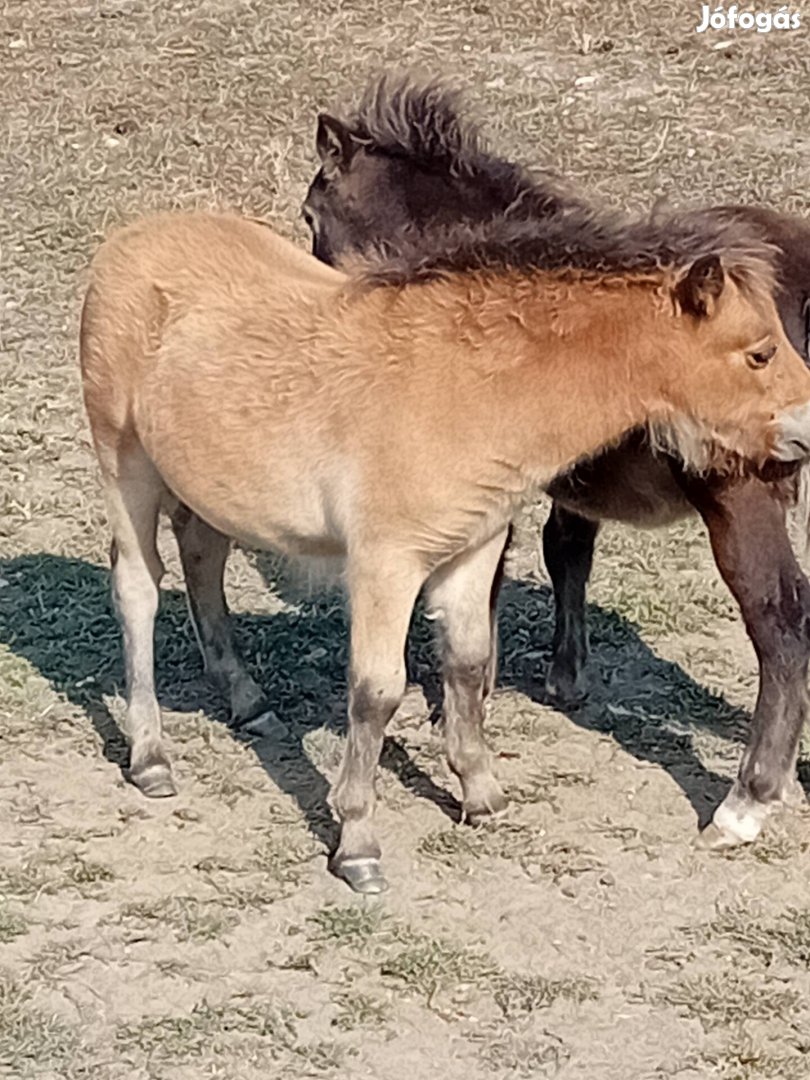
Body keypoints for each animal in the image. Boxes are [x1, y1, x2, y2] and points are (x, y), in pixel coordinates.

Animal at [79, 206, 810, 889]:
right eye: (759, 353)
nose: (807, 429)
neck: (462, 389)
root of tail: (130, 240)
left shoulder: (473, 548)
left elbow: (465, 662)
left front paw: (481, 795)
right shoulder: (386, 562)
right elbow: (376, 692)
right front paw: (358, 844)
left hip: (209, 485)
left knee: (202, 559)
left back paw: (247, 701)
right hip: (125, 466)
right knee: (138, 590)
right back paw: (151, 757)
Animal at [302, 73, 810, 851]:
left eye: (310, 214)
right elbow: (566, 548)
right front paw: (565, 677)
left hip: (743, 503)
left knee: (783, 627)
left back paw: (745, 802)